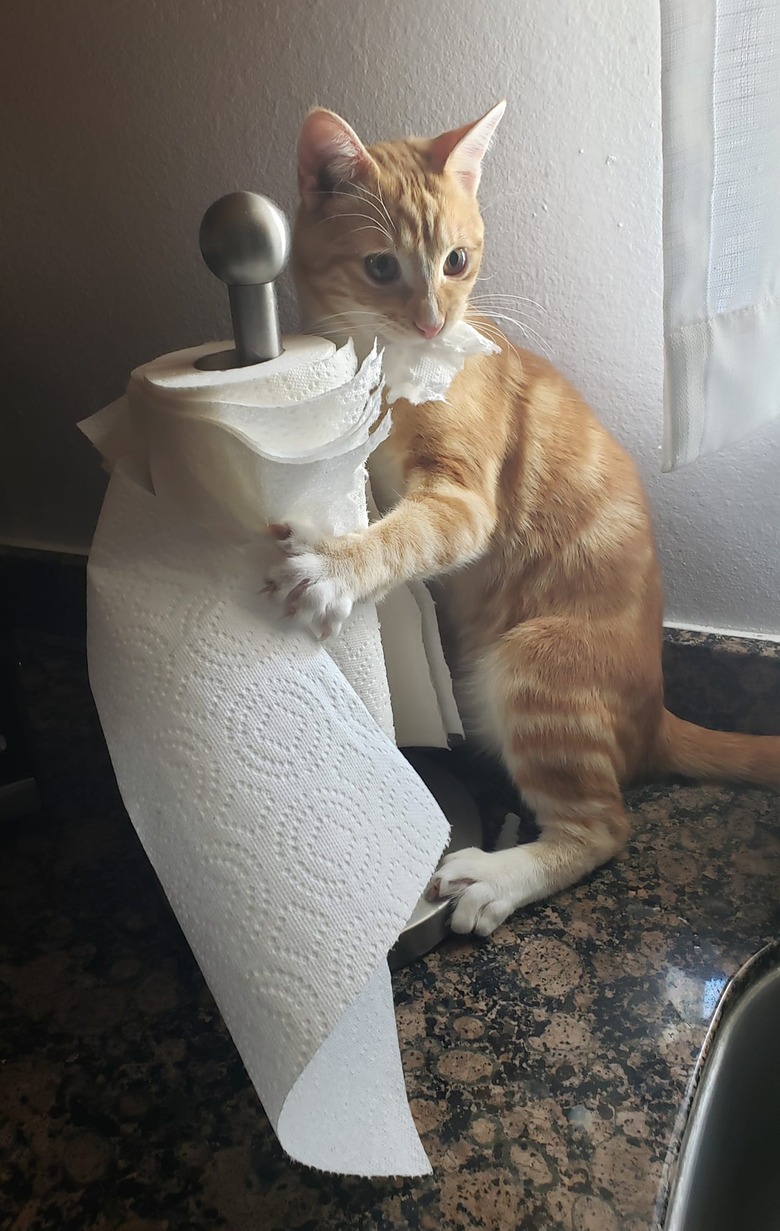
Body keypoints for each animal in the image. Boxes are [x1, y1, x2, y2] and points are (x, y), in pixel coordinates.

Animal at [264, 103, 772, 930]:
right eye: (381, 267)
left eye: (457, 261)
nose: (433, 323)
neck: (393, 365)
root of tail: (656, 715)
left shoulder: (464, 502)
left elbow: (403, 533)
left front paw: (335, 566)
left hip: (536, 667)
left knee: (602, 829)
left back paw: (499, 877)